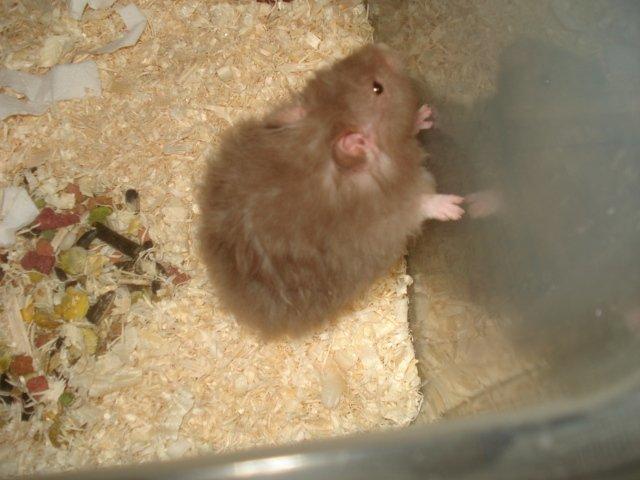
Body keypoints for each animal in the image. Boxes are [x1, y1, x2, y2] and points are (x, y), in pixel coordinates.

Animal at [198, 43, 464, 338]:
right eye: (377, 88)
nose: (383, 48)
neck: (320, 144)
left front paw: (425, 114)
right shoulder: (392, 216)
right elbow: (421, 203)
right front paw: (455, 207)